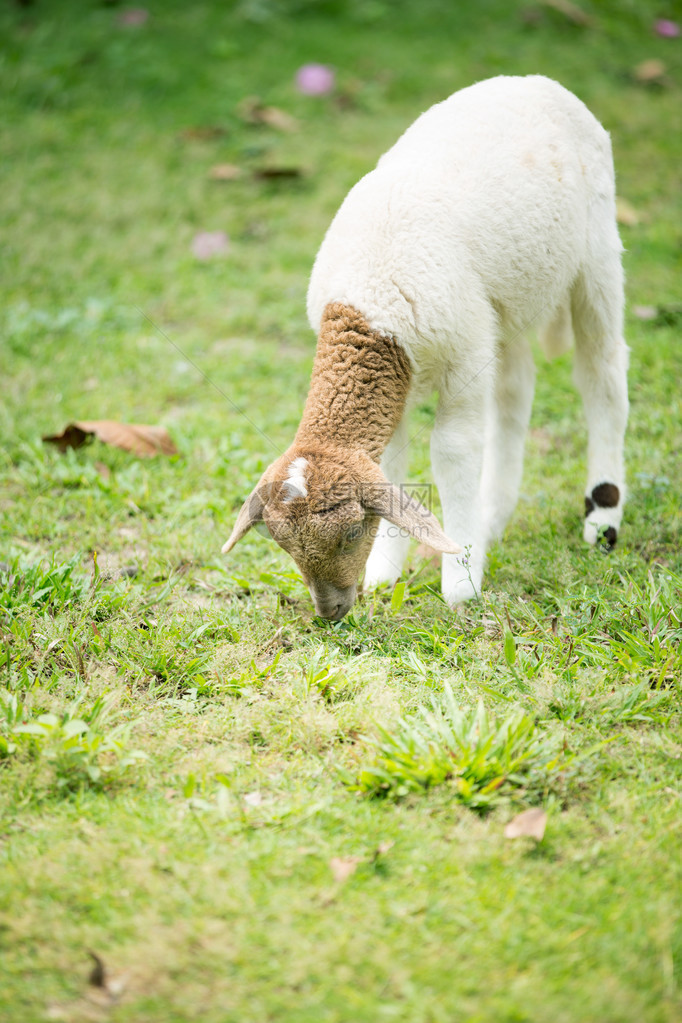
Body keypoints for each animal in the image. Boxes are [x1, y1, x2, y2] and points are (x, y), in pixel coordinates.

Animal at [223, 75, 629, 617]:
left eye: (351, 534)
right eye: (284, 546)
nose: (331, 612)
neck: (369, 308)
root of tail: (532, 80)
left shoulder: (462, 355)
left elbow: (452, 449)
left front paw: (461, 582)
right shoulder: (406, 375)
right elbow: (393, 461)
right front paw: (388, 573)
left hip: (596, 253)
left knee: (602, 375)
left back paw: (602, 519)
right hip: (501, 306)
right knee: (515, 391)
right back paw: (490, 517)